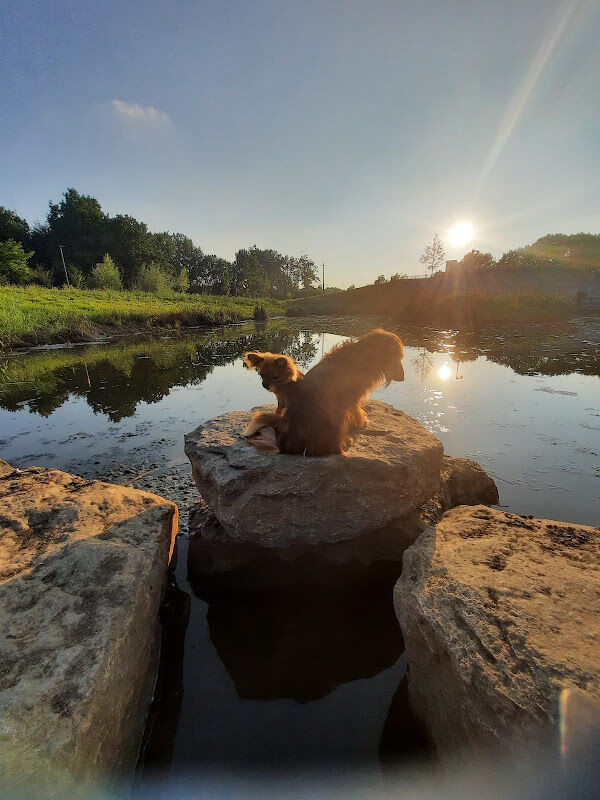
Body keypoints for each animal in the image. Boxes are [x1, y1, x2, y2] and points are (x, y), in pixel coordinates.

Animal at [243, 328, 404, 456]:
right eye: (398, 358)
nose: (403, 378)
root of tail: (284, 445)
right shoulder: (353, 400)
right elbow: (356, 412)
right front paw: (361, 422)